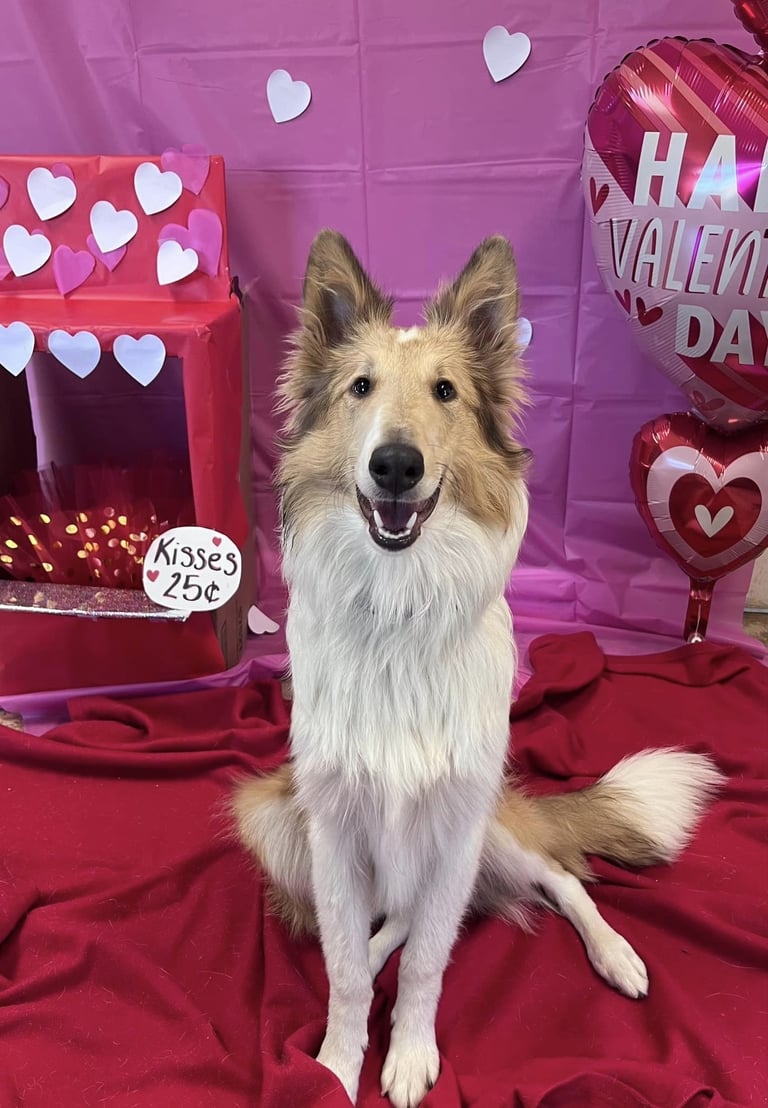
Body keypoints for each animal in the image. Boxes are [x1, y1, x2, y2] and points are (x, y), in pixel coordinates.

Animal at [233, 231, 723, 1108]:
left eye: (446, 391)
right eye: (360, 387)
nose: (396, 465)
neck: (397, 608)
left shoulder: (458, 825)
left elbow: (430, 960)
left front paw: (409, 1054)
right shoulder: (330, 830)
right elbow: (347, 968)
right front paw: (335, 1064)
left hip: (492, 825)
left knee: (559, 878)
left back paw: (616, 954)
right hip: (271, 816)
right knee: (386, 922)